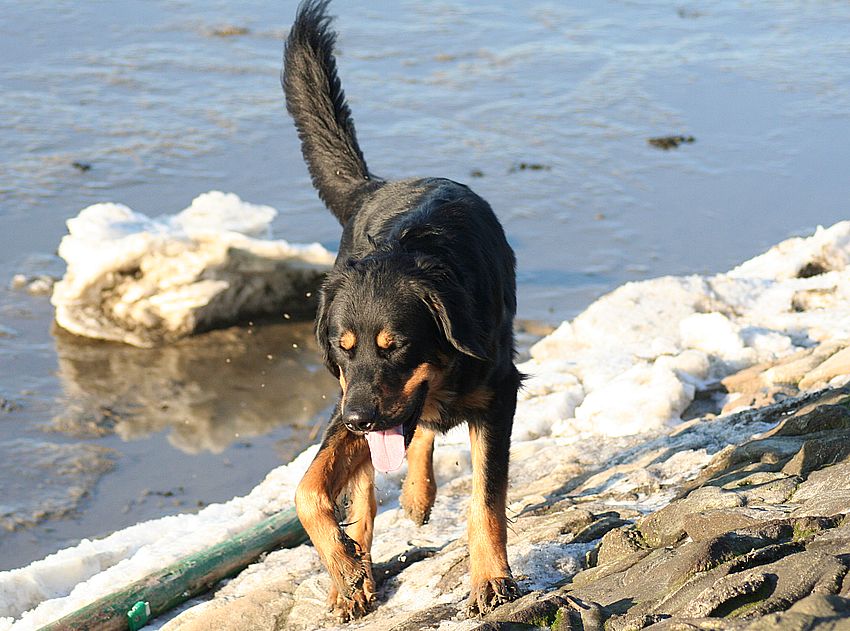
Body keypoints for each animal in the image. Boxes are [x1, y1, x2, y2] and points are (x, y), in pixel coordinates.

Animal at [284, 0, 521, 620]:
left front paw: (490, 578)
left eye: (398, 348)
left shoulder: (500, 391)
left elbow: (486, 498)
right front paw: (345, 568)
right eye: (342, 351)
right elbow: (308, 490)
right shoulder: (347, 401)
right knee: (369, 483)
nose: (359, 419)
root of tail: (378, 184)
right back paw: (359, 570)